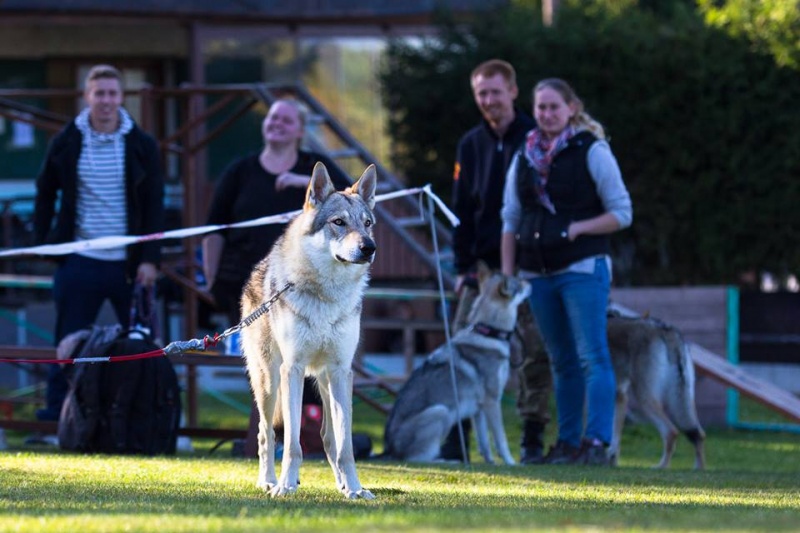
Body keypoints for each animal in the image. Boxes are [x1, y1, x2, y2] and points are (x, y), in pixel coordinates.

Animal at [239, 163, 376, 498]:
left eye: (367, 224)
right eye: (338, 222)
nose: (369, 247)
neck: (328, 296)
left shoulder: (342, 371)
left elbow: (346, 446)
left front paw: (355, 489)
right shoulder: (294, 369)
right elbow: (292, 443)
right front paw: (286, 485)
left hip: (325, 381)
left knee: (328, 436)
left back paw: (342, 485)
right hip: (270, 381)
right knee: (265, 433)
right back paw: (268, 481)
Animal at [382, 264, 532, 464]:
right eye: (519, 284)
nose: (530, 281)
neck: (488, 333)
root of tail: (388, 450)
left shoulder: (478, 409)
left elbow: (485, 442)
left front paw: (490, 463)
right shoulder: (492, 401)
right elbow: (501, 440)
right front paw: (510, 463)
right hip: (441, 412)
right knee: (416, 459)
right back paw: (446, 461)